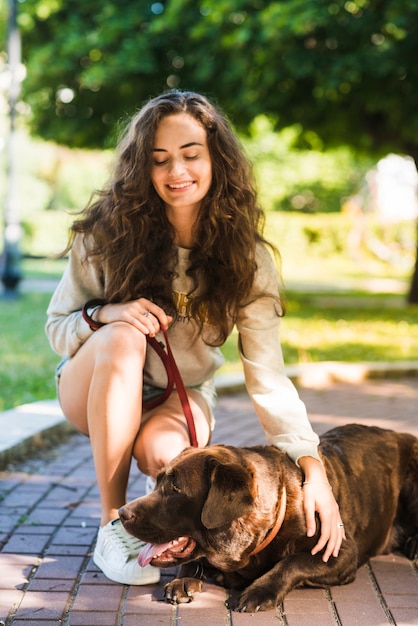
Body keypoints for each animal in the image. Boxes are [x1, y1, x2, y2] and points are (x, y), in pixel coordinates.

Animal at [119, 424, 418, 608]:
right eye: (158, 481)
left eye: (175, 488)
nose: (122, 513)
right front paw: (183, 579)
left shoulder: (340, 550)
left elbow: (293, 562)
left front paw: (259, 591)